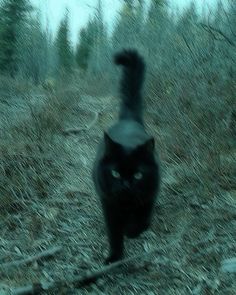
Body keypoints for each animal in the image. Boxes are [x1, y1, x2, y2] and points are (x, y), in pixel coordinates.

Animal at [92, 49, 160, 264]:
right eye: (115, 173)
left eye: (138, 175)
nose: (126, 184)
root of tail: (129, 119)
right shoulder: (108, 205)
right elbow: (114, 233)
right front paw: (114, 257)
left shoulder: (148, 197)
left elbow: (141, 222)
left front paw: (131, 231)